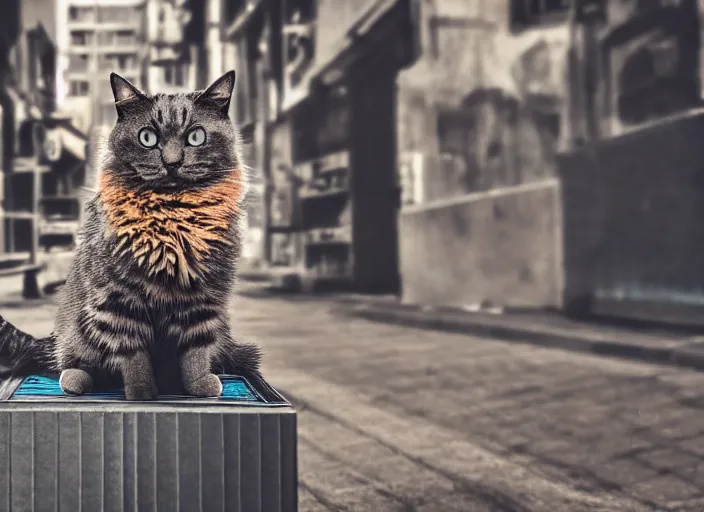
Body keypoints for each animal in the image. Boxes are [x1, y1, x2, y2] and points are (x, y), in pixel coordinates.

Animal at [0, 70, 262, 402]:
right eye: (147, 138)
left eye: (196, 137)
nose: (172, 162)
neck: (171, 218)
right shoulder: (117, 300)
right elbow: (133, 355)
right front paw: (141, 392)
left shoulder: (202, 301)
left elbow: (196, 352)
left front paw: (200, 386)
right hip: (78, 333)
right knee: (73, 363)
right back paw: (76, 380)